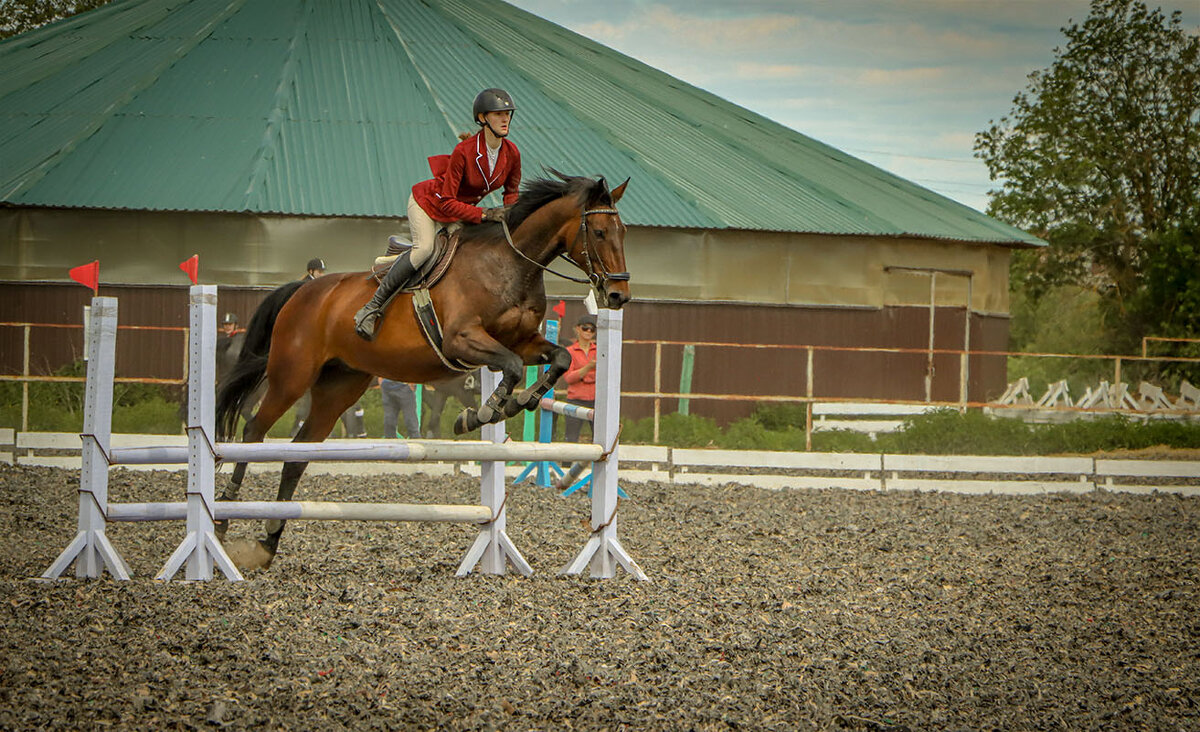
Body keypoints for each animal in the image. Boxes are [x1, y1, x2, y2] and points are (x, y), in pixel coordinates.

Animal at [212, 172, 633, 571]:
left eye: (623, 233)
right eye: (598, 232)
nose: (618, 296)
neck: (510, 266)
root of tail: (302, 291)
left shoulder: (523, 342)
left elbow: (559, 359)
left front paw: (517, 403)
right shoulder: (463, 341)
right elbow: (511, 368)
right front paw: (481, 414)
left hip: (340, 386)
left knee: (297, 455)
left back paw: (269, 540)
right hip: (292, 376)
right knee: (254, 432)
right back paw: (223, 517)